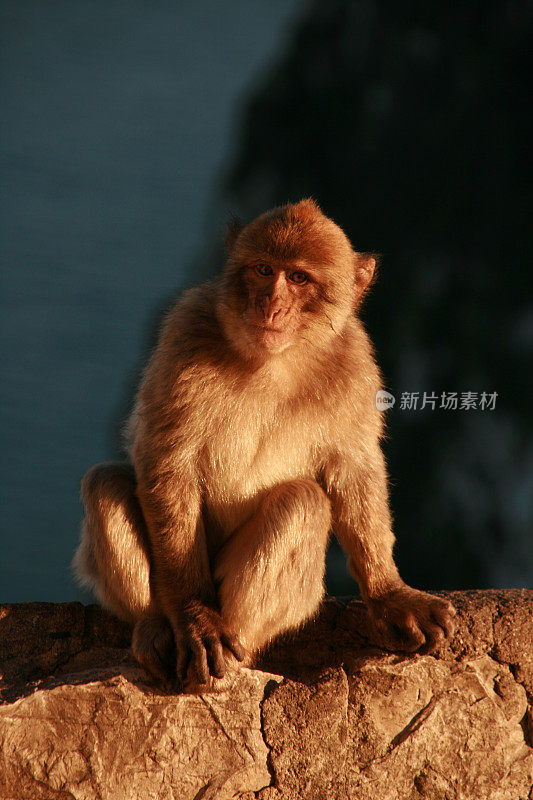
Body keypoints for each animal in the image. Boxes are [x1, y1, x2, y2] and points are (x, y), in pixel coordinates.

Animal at [75, 197, 456, 692]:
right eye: (262, 269)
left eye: (298, 278)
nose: (271, 303)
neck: (273, 359)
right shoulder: (186, 330)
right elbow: (168, 463)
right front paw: (195, 617)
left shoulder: (355, 363)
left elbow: (353, 467)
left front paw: (390, 592)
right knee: (106, 483)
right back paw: (156, 626)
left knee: (303, 501)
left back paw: (237, 651)